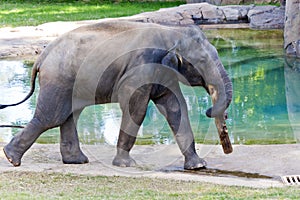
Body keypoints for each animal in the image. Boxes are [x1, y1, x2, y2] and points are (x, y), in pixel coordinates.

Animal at [0, 20, 233, 170]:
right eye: (201, 62)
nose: (213, 111)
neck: (172, 32)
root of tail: (42, 56)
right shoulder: (141, 67)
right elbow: (135, 107)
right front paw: (126, 164)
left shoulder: (164, 72)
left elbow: (175, 107)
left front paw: (198, 166)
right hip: (58, 77)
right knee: (52, 116)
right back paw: (12, 159)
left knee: (68, 115)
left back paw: (76, 161)